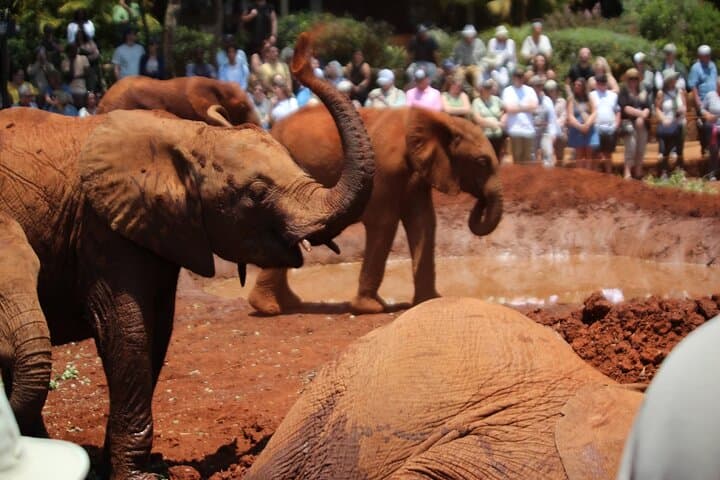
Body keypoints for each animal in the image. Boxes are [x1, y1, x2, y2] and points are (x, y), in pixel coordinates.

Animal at [249, 106, 503, 315]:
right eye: (481, 162)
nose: (480, 201)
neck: (441, 120)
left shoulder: (417, 176)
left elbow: (423, 222)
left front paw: (430, 301)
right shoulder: (383, 169)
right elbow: (384, 222)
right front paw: (370, 308)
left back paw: (287, 304)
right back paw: (268, 308)